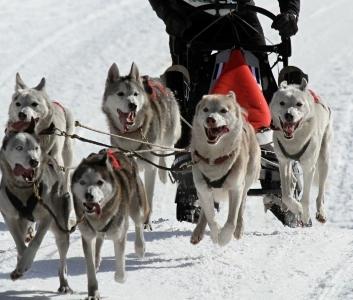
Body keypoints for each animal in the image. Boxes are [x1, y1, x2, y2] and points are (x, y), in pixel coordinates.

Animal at [0, 120, 75, 292]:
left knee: (63, 260)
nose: (34, 161)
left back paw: (64, 283)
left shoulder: (47, 216)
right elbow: (20, 244)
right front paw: (20, 266)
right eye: (19, 148)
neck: (24, 189)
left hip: (60, 226)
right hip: (25, 221)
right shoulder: (10, 217)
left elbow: (35, 243)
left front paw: (24, 264)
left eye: (35, 148)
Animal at [71, 149, 148, 298]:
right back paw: (97, 260)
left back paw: (140, 247)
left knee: (138, 224)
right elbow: (90, 268)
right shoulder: (87, 236)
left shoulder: (119, 234)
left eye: (100, 182)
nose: (89, 195)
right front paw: (93, 292)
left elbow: (120, 268)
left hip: (136, 207)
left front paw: (121, 277)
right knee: (99, 240)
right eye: (82, 182)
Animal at [100, 63, 180, 227]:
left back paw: (163, 173)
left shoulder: (149, 167)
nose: (133, 105)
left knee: (163, 151)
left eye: (135, 94)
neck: (131, 135)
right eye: (120, 93)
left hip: (169, 135)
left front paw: (146, 223)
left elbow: (148, 196)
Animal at [188, 92, 260, 246]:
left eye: (223, 110)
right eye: (206, 110)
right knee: (205, 211)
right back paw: (198, 231)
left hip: (247, 180)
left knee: (241, 207)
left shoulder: (236, 188)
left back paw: (239, 229)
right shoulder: (202, 188)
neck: (214, 159)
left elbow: (231, 220)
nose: (210, 119)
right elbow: (211, 217)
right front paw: (216, 234)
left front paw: (224, 238)